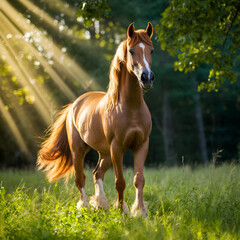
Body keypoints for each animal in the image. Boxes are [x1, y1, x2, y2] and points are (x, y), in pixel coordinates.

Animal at [36, 22, 155, 217]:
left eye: (151, 50)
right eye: (131, 50)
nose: (147, 78)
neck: (131, 108)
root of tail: (74, 105)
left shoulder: (141, 145)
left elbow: (139, 179)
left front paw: (140, 212)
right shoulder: (117, 148)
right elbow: (120, 181)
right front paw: (121, 211)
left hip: (105, 153)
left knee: (97, 173)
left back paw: (101, 203)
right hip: (79, 150)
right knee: (80, 178)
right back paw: (85, 206)